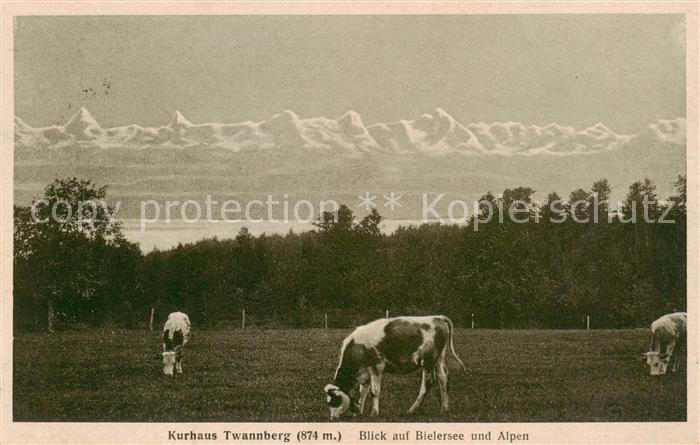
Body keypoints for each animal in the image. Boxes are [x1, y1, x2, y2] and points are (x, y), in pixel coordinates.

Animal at [326, 314, 468, 418]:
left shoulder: (376, 366)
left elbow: (374, 391)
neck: (358, 347)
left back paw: (412, 410)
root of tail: (437, 318)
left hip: (428, 361)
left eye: (334, 401)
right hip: (438, 359)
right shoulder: (364, 371)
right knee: (443, 379)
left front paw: (374, 413)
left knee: (428, 384)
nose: (332, 418)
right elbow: (363, 392)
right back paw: (444, 409)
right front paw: (359, 412)